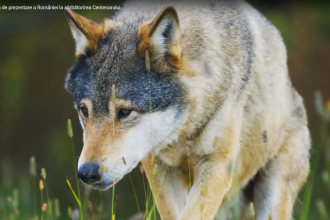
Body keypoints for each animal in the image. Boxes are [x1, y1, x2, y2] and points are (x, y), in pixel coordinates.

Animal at [63, 0, 310, 220]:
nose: (87, 173)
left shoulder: (217, 166)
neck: (183, 132)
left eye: (124, 112)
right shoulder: (159, 169)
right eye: (84, 110)